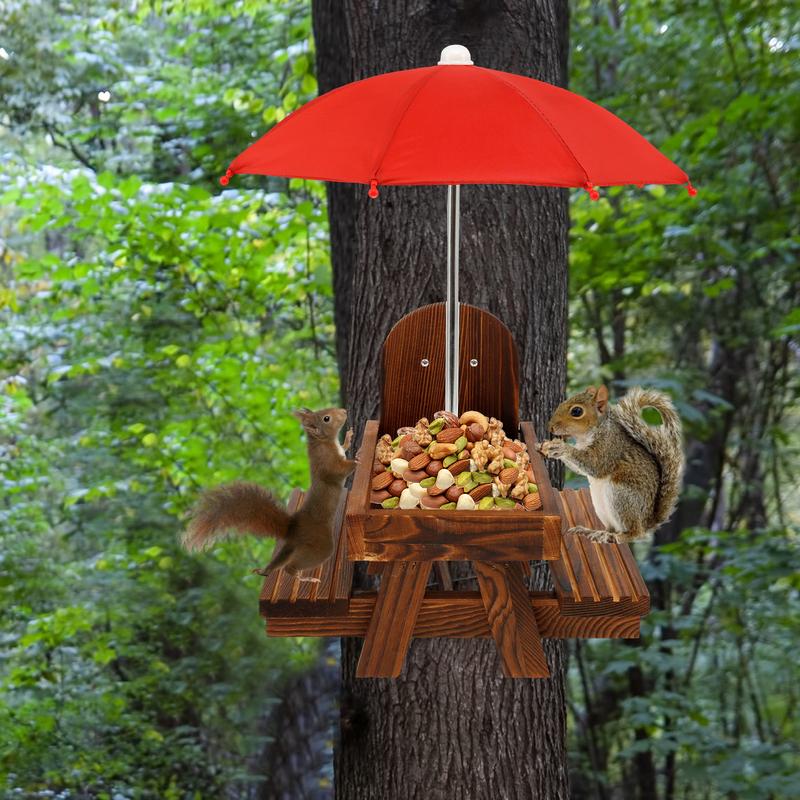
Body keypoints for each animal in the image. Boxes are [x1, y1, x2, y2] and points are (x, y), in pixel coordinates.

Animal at [181, 408, 357, 581]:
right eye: (326, 418)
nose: (344, 411)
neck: (323, 442)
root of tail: (292, 528)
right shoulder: (327, 464)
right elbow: (338, 472)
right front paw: (356, 460)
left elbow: (343, 448)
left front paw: (348, 438)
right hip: (320, 545)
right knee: (289, 567)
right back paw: (305, 578)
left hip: (291, 547)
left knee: (278, 562)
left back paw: (264, 570)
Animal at [537, 386, 684, 544]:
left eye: (576, 411)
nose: (550, 427)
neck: (588, 434)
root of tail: (647, 521)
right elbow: (580, 469)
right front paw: (546, 446)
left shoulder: (609, 448)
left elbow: (594, 465)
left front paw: (562, 448)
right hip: (600, 505)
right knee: (611, 528)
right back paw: (594, 532)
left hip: (622, 497)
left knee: (636, 533)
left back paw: (621, 536)